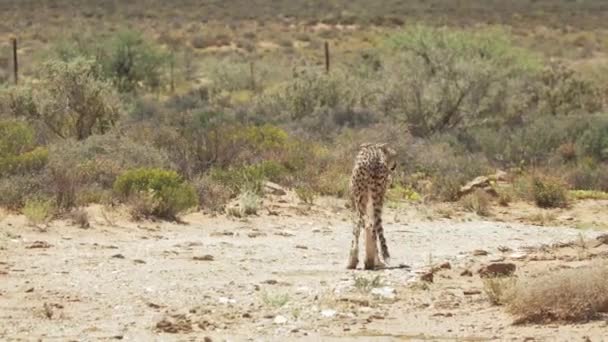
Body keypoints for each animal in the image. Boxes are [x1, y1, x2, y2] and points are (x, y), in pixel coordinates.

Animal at [350, 142, 396, 270]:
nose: (395, 166)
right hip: (371, 199)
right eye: (394, 155)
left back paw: (367, 261)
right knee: (371, 225)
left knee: (366, 225)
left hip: (363, 199)